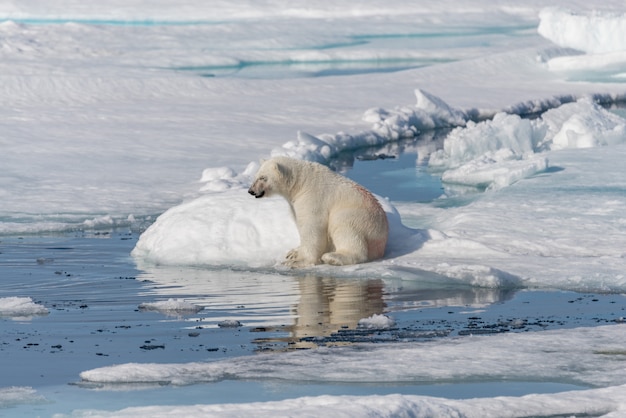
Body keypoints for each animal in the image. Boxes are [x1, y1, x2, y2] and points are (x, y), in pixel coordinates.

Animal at [247, 157, 386, 268]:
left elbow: (312, 226)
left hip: (359, 216)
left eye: (263, 178)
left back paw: (332, 257)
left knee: (344, 228)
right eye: (256, 176)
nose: (251, 191)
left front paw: (298, 262)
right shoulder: (294, 203)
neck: (301, 183)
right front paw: (293, 252)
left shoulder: (313, 198)